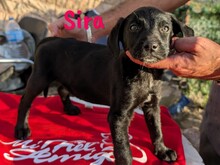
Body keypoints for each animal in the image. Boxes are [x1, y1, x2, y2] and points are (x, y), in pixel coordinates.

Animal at [14, 6, 193, 165]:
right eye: (133, 27)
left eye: (165, 28)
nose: (150, 46)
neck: (144, 71)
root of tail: (49, 39)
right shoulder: (118, 115)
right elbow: (123, 146)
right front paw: (126, 161)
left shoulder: (153, 105)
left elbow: (157, 129)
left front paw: (162, 151)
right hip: (39, 77)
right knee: (25, 101)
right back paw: (21, 129)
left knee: (62, 89)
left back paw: (69, 108)